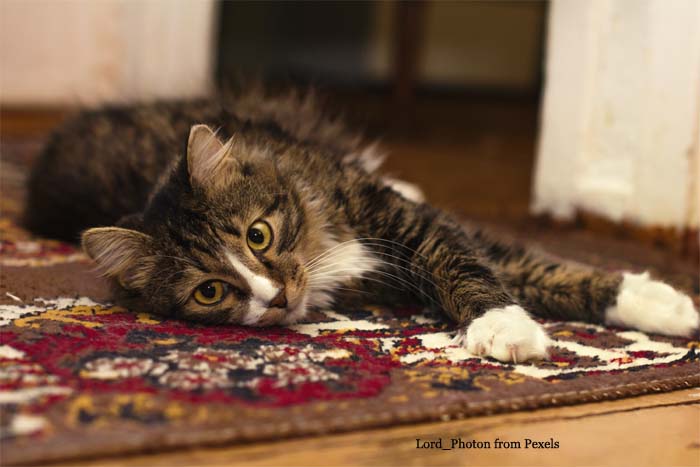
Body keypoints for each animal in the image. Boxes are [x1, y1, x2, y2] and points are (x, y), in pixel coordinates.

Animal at [24, 88, 696, 366]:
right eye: (210, 291)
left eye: (258, 235)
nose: (276, 298)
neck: (321, 244)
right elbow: (517, 269)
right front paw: (509, 328)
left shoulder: (411, 224)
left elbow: (512, 264)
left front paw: (665, 304)